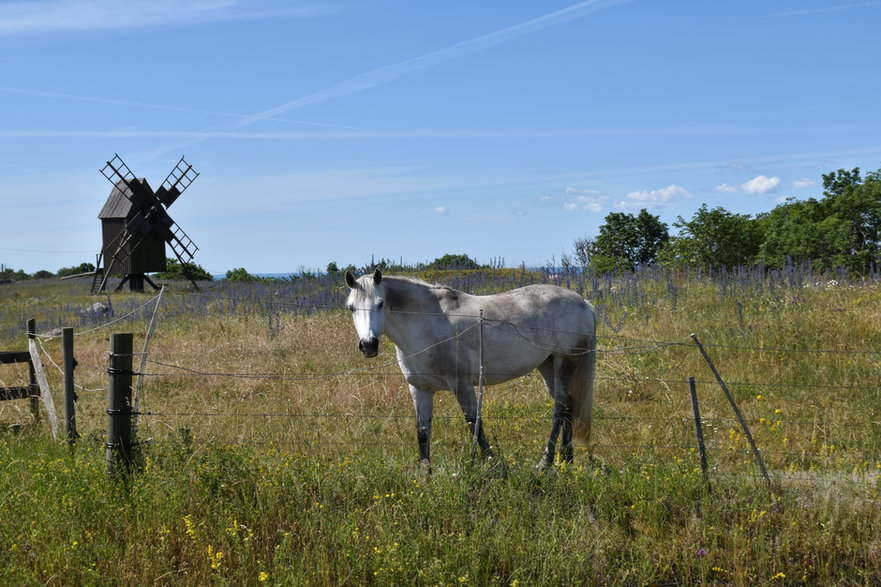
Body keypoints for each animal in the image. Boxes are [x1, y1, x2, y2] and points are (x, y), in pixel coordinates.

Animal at [344, 272, 600, 474]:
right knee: (567, 405)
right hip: (548, 365)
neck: (428, 324)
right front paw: (425, 475)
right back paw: (566, 460)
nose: (368, 345)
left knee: (559, 409)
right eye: (351, 307)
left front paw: (495, 465)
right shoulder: (420, 389)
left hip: (564, 362)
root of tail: (584, 303)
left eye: (380, 303)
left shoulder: (462, 385)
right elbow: (422, 431)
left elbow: (474, 423)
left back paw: (545, 463)